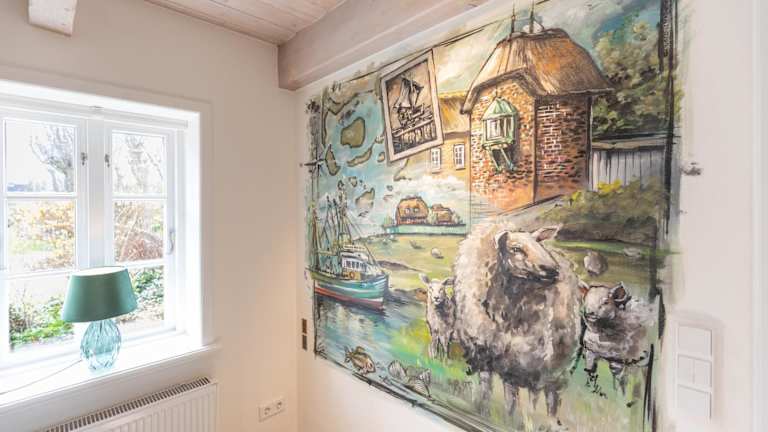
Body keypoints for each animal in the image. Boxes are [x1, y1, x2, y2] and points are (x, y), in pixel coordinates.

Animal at [451, 223, 582, 420]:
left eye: (538, 244)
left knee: (550, 399)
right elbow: (489, 393)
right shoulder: (485, 357)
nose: (552, 270)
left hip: (554, 366)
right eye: (516, 249)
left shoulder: (531, 364)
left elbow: (528, 403)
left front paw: (524, 421)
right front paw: (486, 413)